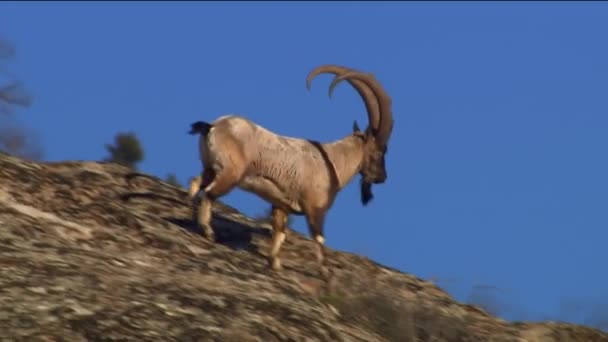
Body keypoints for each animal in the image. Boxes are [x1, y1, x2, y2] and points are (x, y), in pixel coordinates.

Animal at [188, 64, 394, 278]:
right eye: (381, 151)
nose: (382, 177)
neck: (333, 162)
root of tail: (213, 126)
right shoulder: (315, 208)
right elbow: (319, 239)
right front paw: (325, 274)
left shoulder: (281, 206)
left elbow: (280, 233)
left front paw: (275, 264)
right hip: (230, 175)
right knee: (209, 193)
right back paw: (209, 232)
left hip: (210, 168)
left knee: (196, 183)